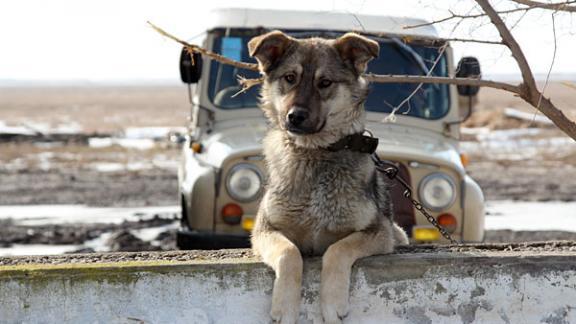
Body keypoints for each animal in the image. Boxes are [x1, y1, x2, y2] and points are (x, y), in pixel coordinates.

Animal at [249, 30, 410, 324]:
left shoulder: (378, 232)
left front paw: (332, 303)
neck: (316, 153)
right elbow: (289, 253)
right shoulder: (265, 230)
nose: (295, 117)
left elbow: (337, 250)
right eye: (290, 78)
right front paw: (285, 307)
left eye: (324, 83)